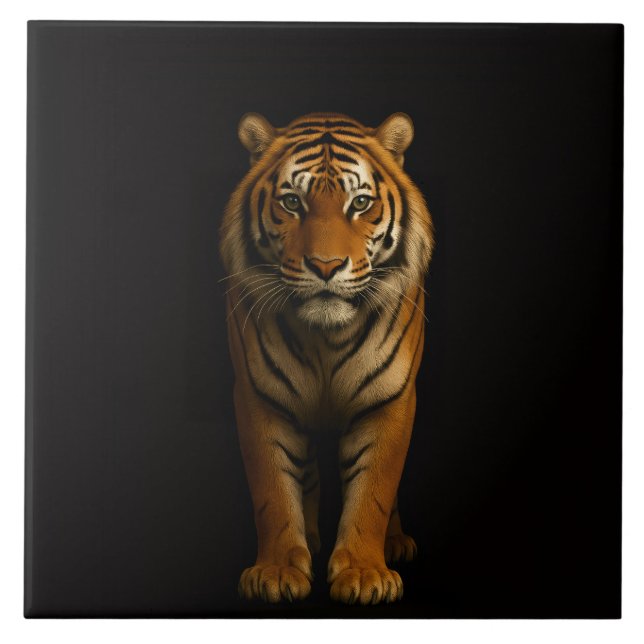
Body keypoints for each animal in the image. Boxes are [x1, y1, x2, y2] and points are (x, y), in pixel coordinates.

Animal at [219, 112, 433, 605]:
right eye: (292, 202)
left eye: (360, 203)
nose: (326, 265)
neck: (325, 337)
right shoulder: (259, 398)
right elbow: (273, 490)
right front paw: (277, 571)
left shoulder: (390, 399)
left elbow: (375, 489)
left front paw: (365, 574)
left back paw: (395, 543)